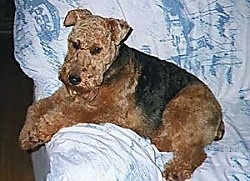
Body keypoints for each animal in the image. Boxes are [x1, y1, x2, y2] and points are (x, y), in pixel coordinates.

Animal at [19, 9, 225, 180]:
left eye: (96, 49)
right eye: (74, 44)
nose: (73, 79)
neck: (107, 71)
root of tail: (219, 116)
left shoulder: (99, 109)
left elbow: (62, 113)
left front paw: (37, 133)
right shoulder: (64, 96)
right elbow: (37, 106)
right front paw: (26, 134)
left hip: (180, 107)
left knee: (194, 151)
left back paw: (174, 171)